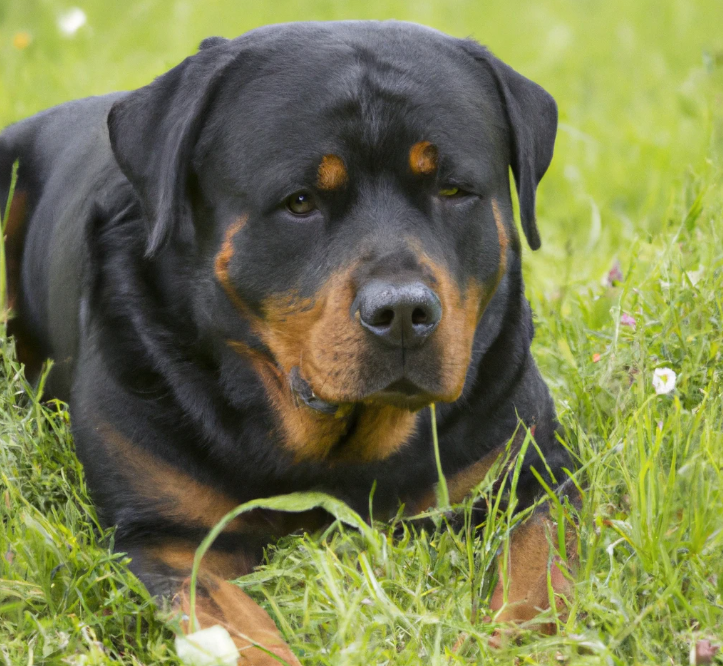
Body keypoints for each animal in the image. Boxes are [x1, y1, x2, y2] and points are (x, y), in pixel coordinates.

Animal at [0, 19, 576, 660]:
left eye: (453, 191)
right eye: (300, 202)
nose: (404, 310)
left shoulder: (534, 474)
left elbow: (536, 575)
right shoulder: (166, 534)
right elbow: (241, 630)